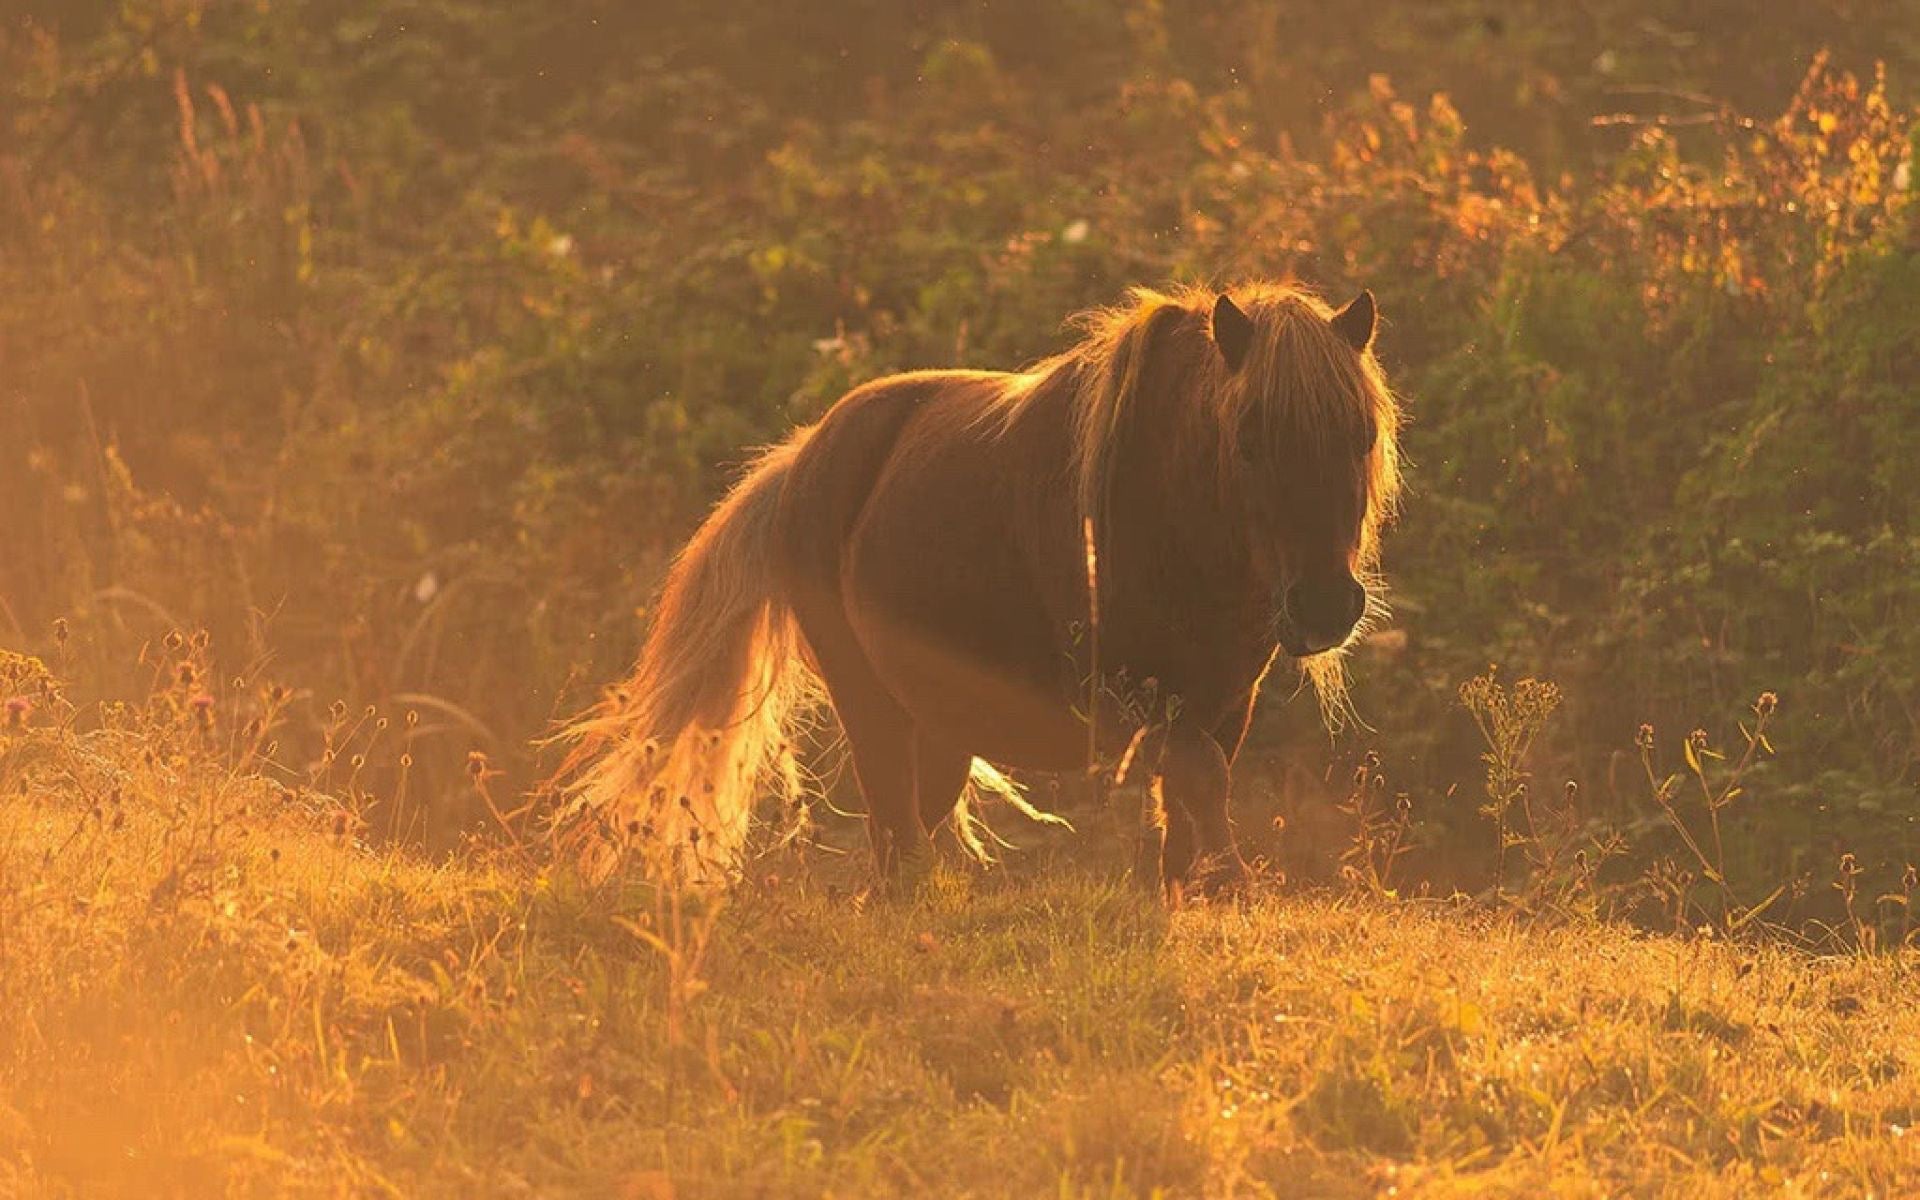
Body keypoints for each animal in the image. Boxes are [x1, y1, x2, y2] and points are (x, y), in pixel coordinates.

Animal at [549, 280, 1405, 890]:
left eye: (1361, 435)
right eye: (1250, 439)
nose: (1325, 606)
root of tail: (805, 459)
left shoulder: (1224, 698)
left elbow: (1194, 798)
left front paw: (1198, 888)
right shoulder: (1136, 693)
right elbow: (1200, 779)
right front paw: (1230, 881)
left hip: (939, 721)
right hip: (870, 701)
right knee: (894, 832)